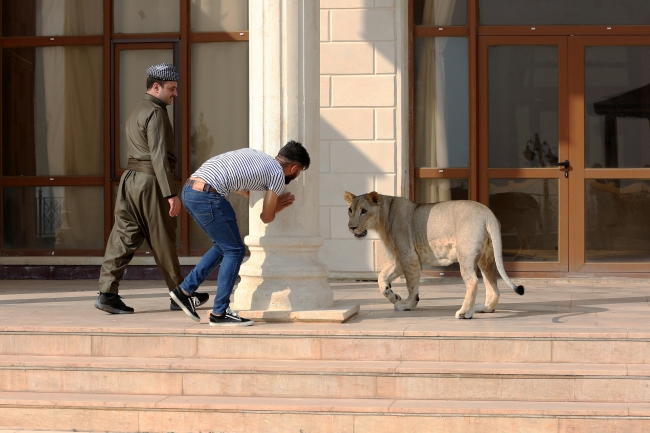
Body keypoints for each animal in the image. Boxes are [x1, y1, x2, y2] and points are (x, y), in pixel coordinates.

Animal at [342, 192, 524, 318]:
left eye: (364, 211)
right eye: (350, 210)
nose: (351, 227)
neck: (384, 217)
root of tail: (488, 213)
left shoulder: (409, 257)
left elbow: (411, 285)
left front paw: (407, 304)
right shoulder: (400, 258)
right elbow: (382, 277)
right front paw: (394, 296)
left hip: (465, 254)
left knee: (473, 281)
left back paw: (464, 313)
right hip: (486, 258)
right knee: (493, 287)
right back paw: (483, 308)